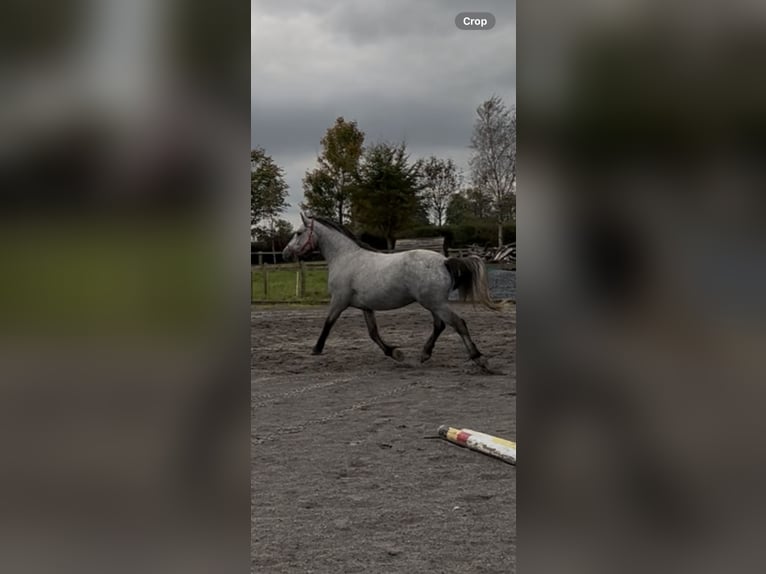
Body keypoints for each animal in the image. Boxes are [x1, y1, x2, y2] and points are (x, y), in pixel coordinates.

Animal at [282, 213, 500, 370]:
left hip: (435, 303)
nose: (285, 253)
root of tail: (445, 261)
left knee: (458, 324)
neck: (346, 257)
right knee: (440, 325)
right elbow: (373, 333)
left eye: (299, 232)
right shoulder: (365, 307)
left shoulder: (339, 301)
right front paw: (396, 353)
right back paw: (425, 354)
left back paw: (479, 359)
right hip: (433, 304)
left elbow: (328, 323)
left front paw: (316, 349)